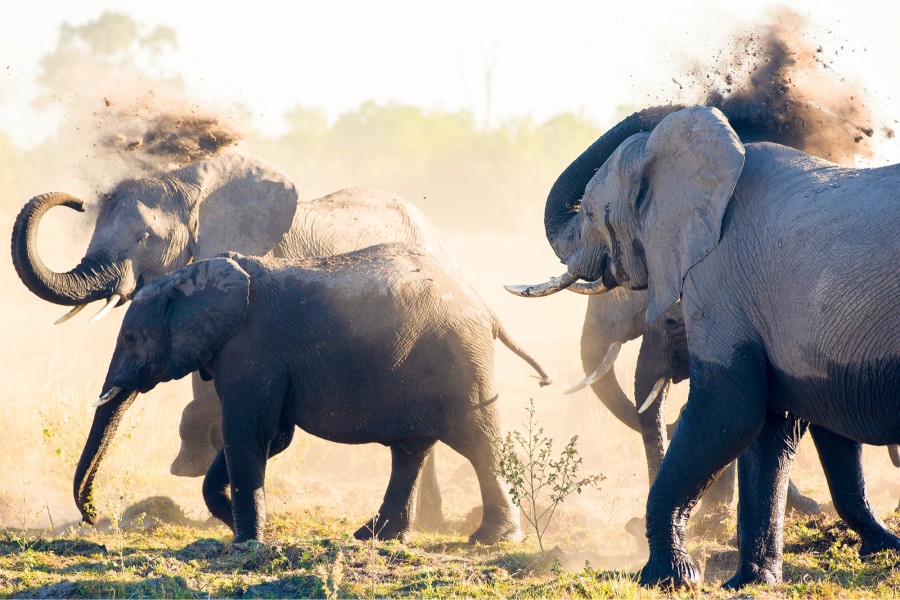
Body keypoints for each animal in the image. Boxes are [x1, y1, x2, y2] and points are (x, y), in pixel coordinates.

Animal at [75, 244, 556, 544]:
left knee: (476, 441)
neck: (193, 276)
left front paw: (246, 541)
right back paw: (377, 537)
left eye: (132, 338)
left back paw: (489, 539)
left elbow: (248, 434)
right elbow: (272, 438)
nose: (94, 517)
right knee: (411, 450)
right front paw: (238, 524)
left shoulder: (252, 348)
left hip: (459, 359)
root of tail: (487, 308)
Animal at [512, 105, 900, 588]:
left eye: (588, 214)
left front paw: (667, 578)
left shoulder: (721, 280)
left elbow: (726, 414)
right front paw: (748, 583)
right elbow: (771, 428)